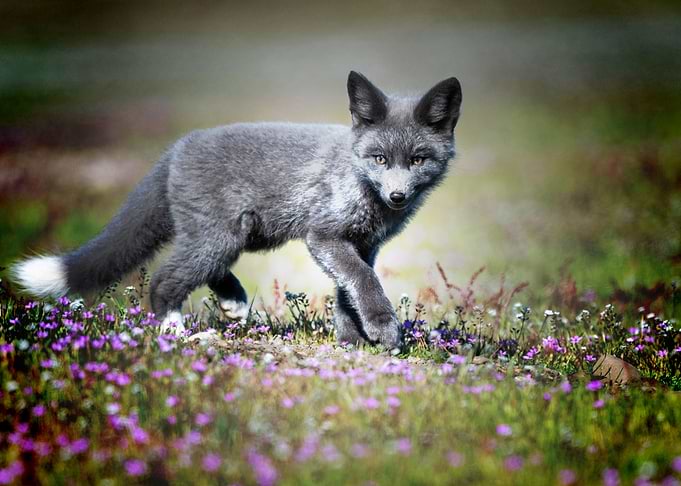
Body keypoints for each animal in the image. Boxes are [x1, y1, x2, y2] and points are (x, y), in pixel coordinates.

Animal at [12, 71, 462, 349]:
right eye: (380, 159)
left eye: (418, 160)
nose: (398, 197)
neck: (357, 174)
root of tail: (177, 147)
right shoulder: (325, 235)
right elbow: (364, 284)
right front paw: (383, 330)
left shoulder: (363, 245)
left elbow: (346, 293)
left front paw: (353, 341)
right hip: (222, 237)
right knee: (164, 280)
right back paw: (176, 332)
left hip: (234, 236)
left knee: (202, 271)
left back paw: (233, 303)